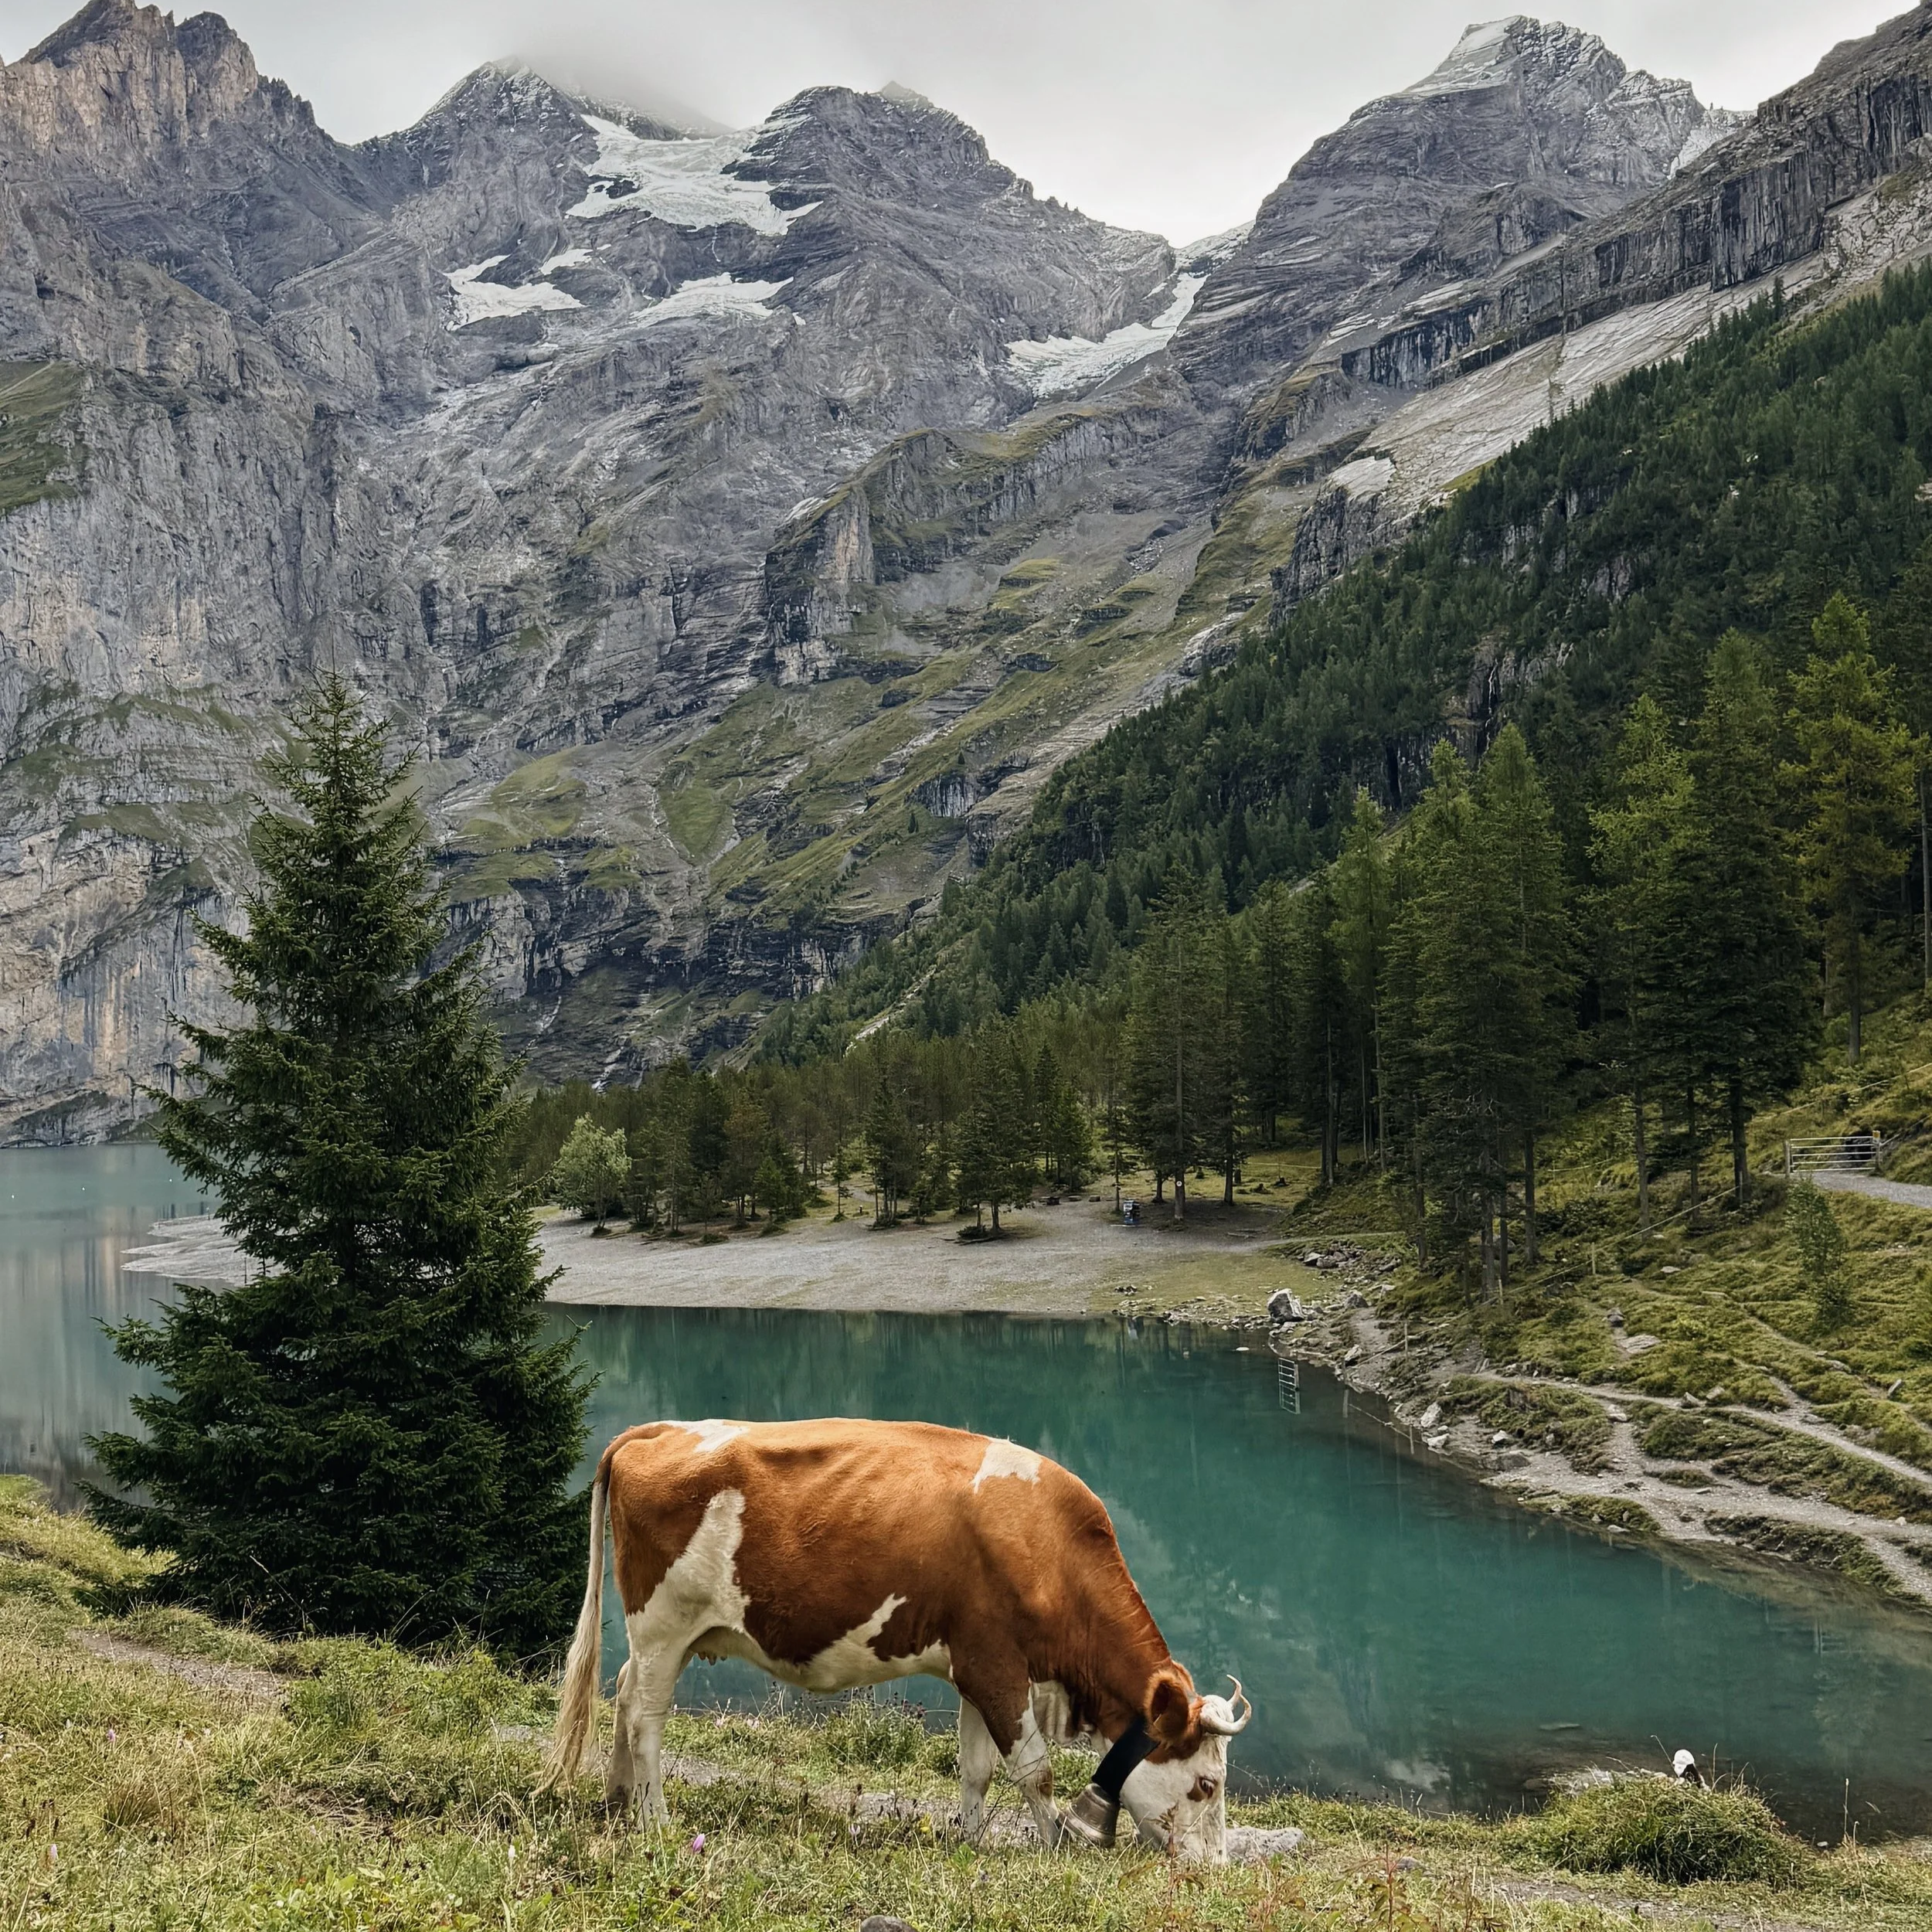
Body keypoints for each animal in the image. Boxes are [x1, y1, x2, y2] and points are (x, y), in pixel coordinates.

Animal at [538, 1417, 1251, 1862]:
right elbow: (1035, 1769)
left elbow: (976, 1768)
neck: (1048, 1546)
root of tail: (661, 1429)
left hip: (670, 1636)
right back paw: (657, 1820)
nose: (1214, 1870)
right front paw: (1051, 1850)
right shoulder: (997, 1666)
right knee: (646, 1717)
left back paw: (619, 1801)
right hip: (663, 1623)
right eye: (1206, 1785)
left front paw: (973, 1843)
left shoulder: (975, 1667)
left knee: (625, 1694)